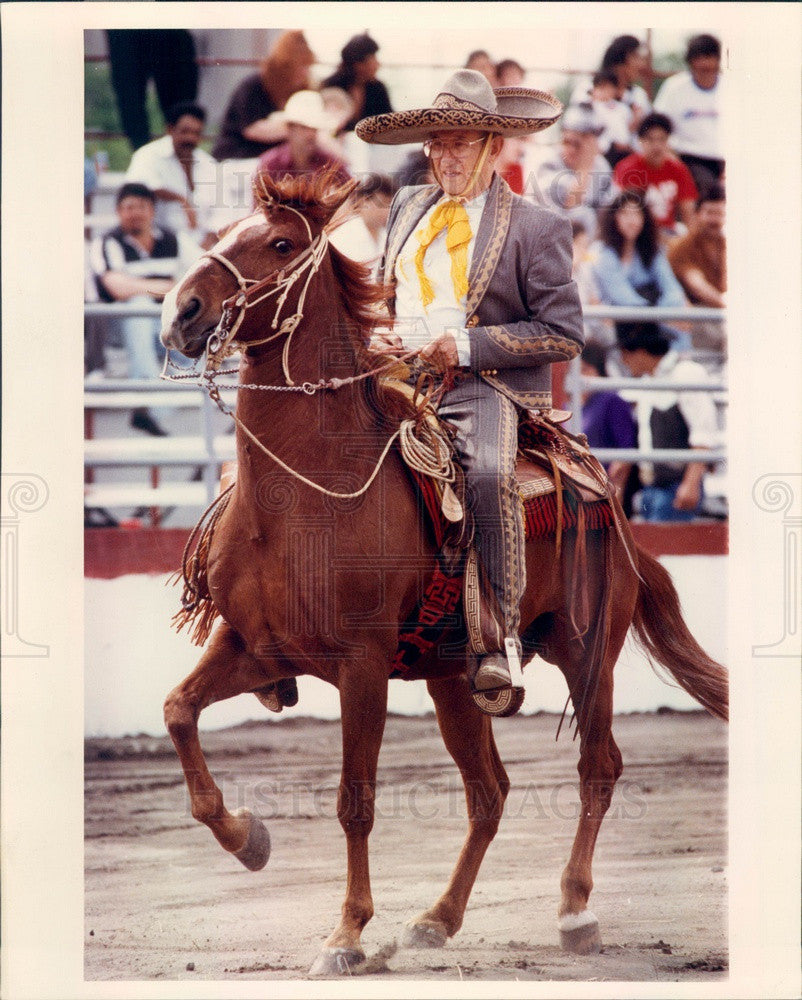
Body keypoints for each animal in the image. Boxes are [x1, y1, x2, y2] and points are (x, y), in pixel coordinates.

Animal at [158, 174, 724, 976]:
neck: (301, 496)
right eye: (225, 229)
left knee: (598, 768)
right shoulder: (252, 645)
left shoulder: (360, 665)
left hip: (588, 652)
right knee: (490, 793)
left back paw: (574, 910)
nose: (182, 312)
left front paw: (346, 935)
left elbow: (355, 799)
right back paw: (437, 918)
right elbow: (179, 711)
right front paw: (248, 839)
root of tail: (607, 497)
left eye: (279, 242)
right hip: (456, 678)